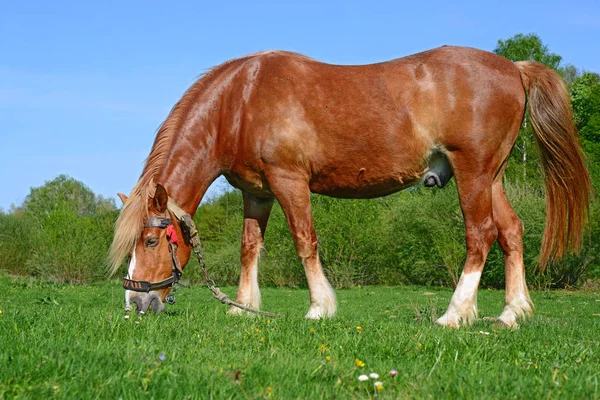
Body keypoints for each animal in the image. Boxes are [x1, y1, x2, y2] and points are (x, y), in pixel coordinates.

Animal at [108, 46, 592, 328]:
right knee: (511, 231)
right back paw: (512, 313)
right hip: (492, 176)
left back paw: (455, 314)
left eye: (150, 240)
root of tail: (513, 67)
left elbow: (305, 240)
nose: (134, 304)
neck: (240, 102)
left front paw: (319, 307)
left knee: (481, 234)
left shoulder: (289, 181)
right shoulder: (257, 192)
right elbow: (250, 248)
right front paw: (242, 307)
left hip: (472, 172)